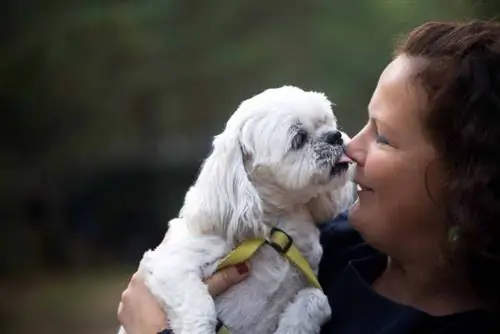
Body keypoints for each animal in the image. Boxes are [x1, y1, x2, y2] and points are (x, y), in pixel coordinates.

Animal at [118, 85, 356, 334]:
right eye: (298, 139)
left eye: (327, 122)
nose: (335, 136)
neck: (273, 230)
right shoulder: (170, 266)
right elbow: (199, 308)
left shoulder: (307, 275)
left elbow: (317, 298)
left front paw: (292, 326)